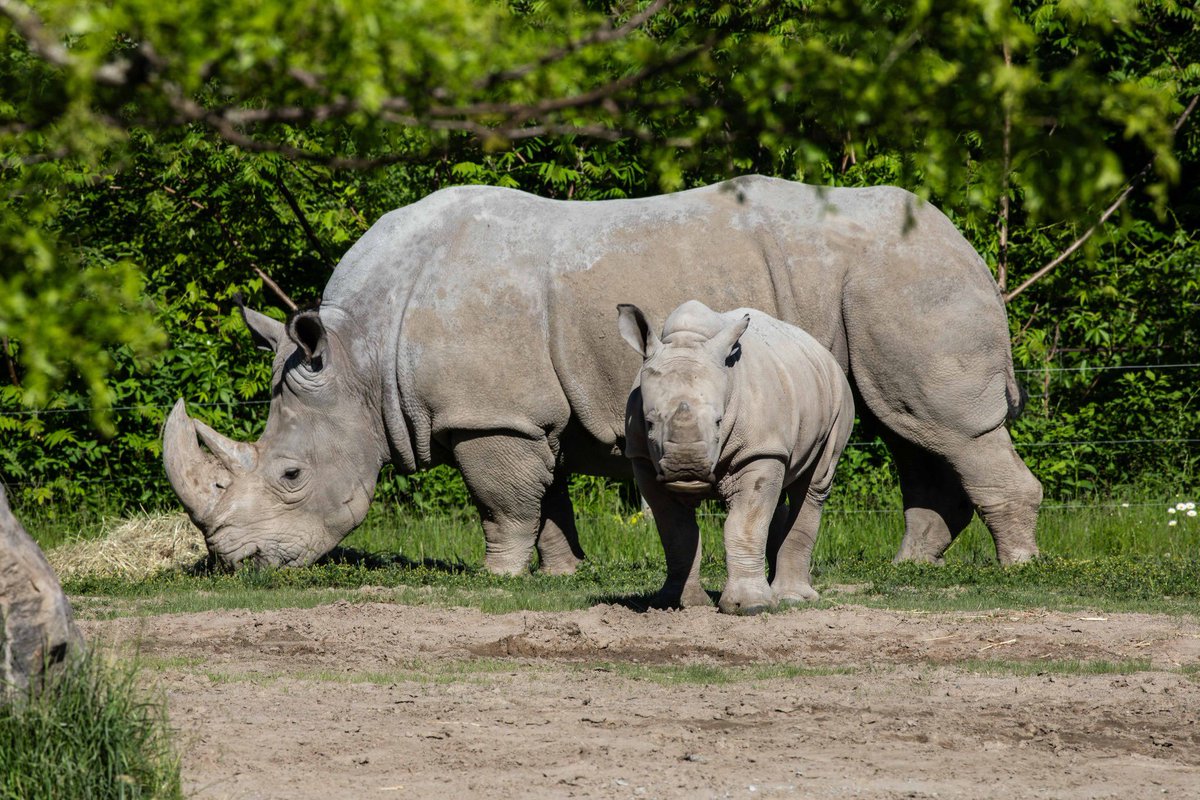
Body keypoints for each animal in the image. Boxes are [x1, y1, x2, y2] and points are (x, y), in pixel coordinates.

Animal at [163, 175, 1042, 573]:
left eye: (290, 474)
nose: (234, 564)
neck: (359, 356)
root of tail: (957, 234)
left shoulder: (491, 415)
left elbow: (502, 502)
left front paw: (497, 576)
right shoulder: (526, 413)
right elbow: (544, 499)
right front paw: (559, 574)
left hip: (905, 276)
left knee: (948, 427)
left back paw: (1015, 569)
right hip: (884, 285)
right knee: (910, 429)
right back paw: (910, 569)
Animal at [619, 301, 854, 614]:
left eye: (719, 421)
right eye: (649, 423)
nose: (685, 468)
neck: (688, 338)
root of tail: (821, 351)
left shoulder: (760, 449)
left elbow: (745, 525)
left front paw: (751, 606)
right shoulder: (642, 457)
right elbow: (676, 531)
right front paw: (676, 603)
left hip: (838, 394)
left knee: (813, 487)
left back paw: (791, 598)